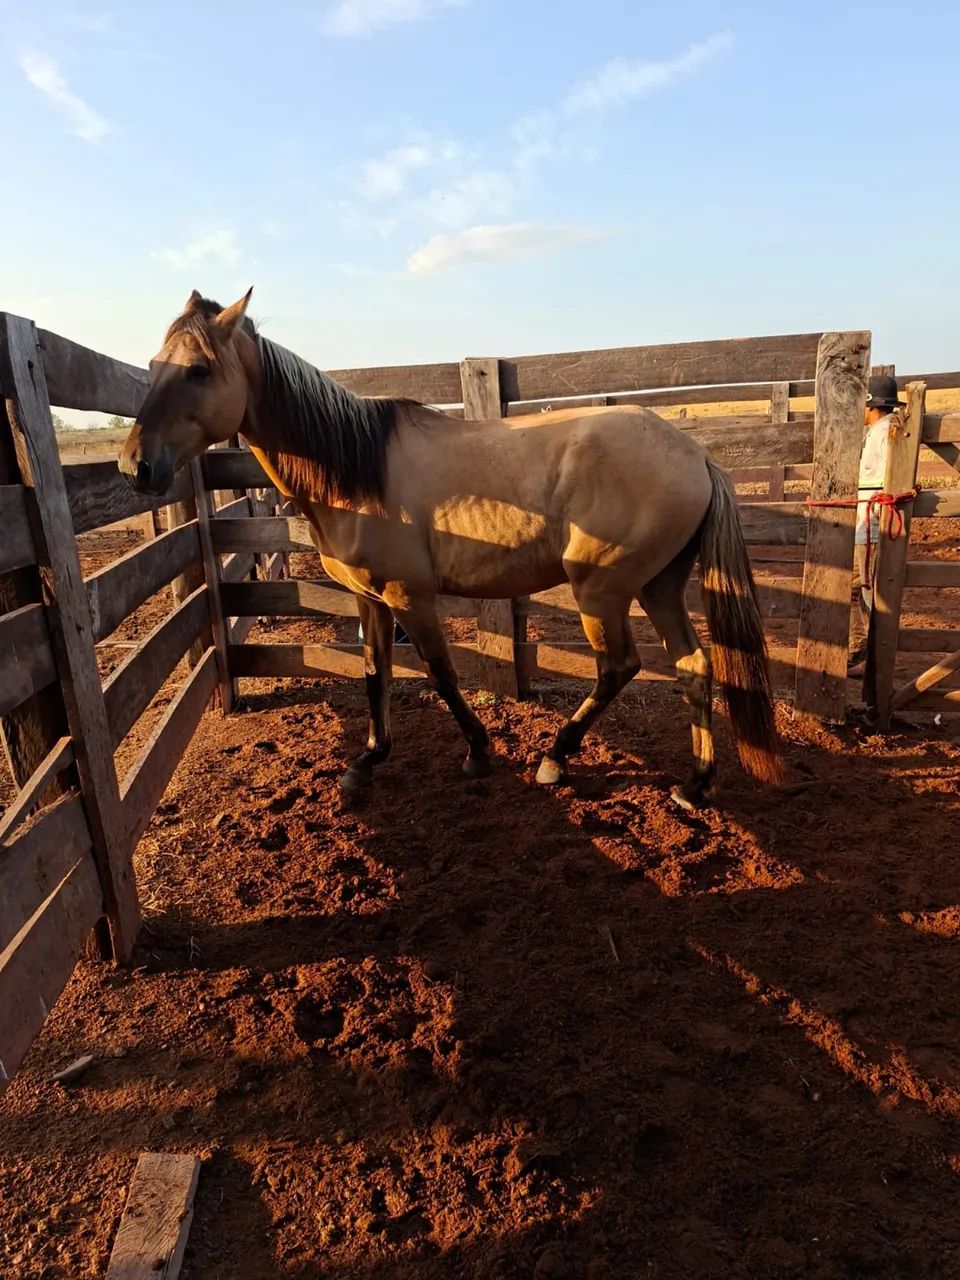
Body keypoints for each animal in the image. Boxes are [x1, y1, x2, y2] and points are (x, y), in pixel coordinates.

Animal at [119, 289, 783, 808]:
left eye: (199, 371)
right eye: (152, 365)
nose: (136, 466)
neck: (357, 470)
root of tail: (696, 455)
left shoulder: (410, 597)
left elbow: (439, 672)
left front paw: (478, 751)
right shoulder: (370, 601)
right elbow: (375, 672)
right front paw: (367, 762)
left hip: (603, 589)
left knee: (619, 666)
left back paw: (556, 758)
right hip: (657, 584)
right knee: (694, 665)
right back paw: (695, 784)